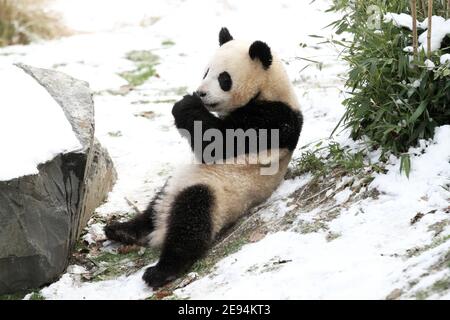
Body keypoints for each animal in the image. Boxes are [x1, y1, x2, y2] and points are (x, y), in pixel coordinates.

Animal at [103, 26, 304, 288]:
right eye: (206, 70)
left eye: (224, 78)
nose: (201, 93)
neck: (269, 89)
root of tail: (160, 229)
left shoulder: (272, 119)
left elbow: (220, 142)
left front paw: (185, 104)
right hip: (173, 185)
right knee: (152, 210)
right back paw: (121, 230)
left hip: (217, 193)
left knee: (191, 221)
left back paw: (161, 271)